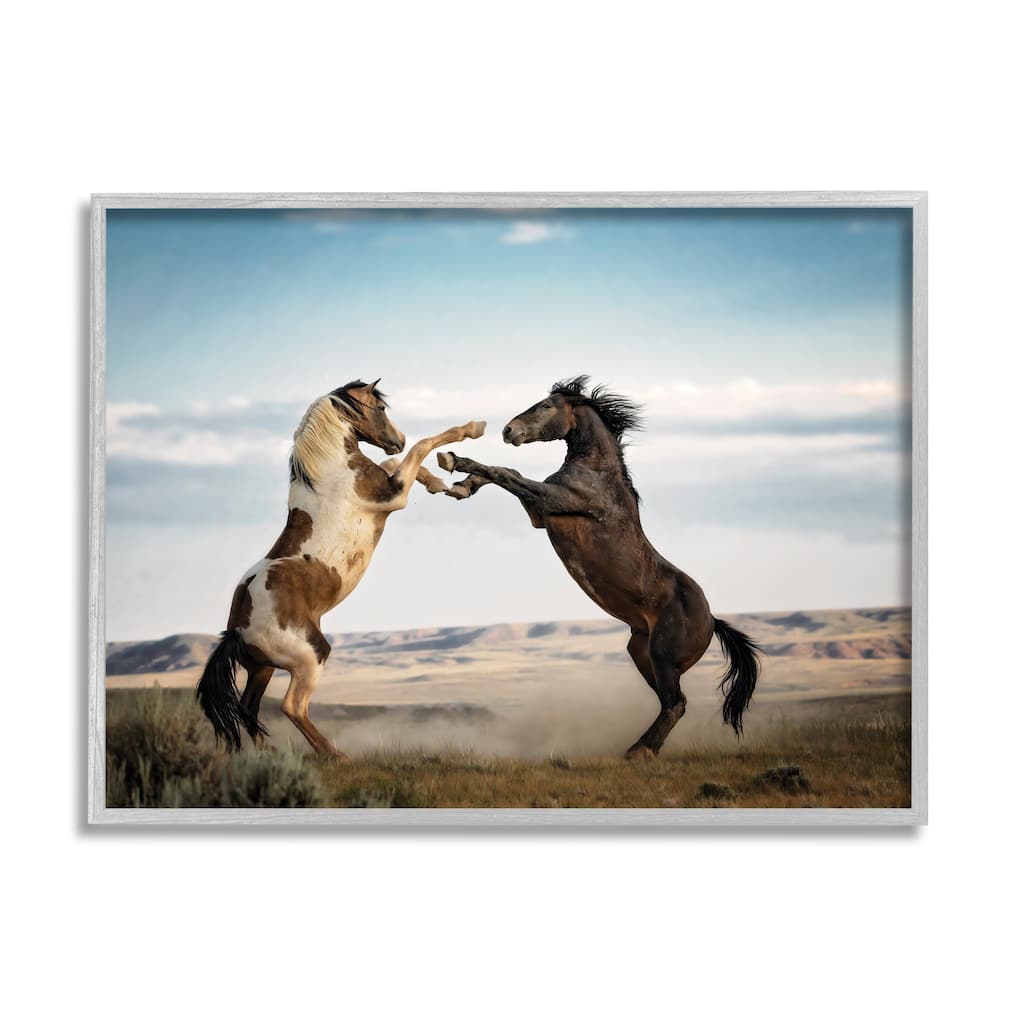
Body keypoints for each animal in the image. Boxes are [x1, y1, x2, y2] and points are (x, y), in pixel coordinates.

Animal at [196, 379, 486, 758]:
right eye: (380, 408)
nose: (399, 437)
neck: (331, 472)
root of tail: (237, 630)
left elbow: (397, 459)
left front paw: (440, 484)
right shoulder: (394, 496)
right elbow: (422, 446)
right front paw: (472, 429)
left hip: (263, 669)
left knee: (249, 708)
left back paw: (271, 755)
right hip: (310, 656)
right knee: (292, 706)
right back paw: (335, 755)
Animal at [437, 375, 760, 759]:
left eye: (546, 406)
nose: (508, 430)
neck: (597, 474)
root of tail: (711, 620)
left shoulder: (552, 499)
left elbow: (506, 473)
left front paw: (454, 460)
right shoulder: (540, 514)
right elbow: (507, 474)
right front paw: (461, 486)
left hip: (663, 656)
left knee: (675, 704)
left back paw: (639, 751)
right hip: (641, 653)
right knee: (671, 703)